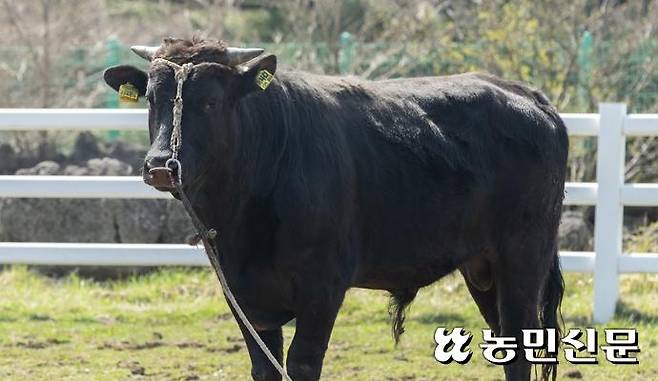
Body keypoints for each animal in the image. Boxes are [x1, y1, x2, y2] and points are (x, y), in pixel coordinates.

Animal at [105, 43, 568, 380]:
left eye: (211, 102)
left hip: (522, 258)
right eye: (151, 98)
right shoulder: (242, 295)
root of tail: (525, 95)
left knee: (520, 347)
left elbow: (303, 364)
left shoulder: (322, 288)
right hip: (481, 267)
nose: (161, 166)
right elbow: (265, 367)